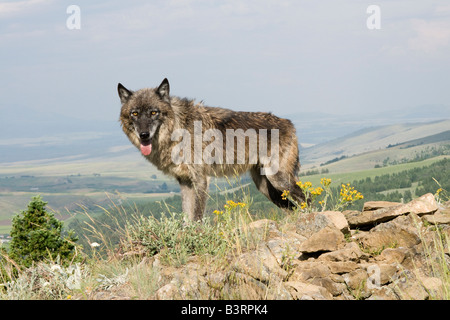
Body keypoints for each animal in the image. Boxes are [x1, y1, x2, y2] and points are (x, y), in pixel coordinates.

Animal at [117, 79, 306, 221]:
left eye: (153, 112)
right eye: (134, 114)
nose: (143, 135)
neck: (177, 129)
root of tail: (289, 123)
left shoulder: (201, 180)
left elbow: (197, 216)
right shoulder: (185, 182)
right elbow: (187, 217)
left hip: (279, 180)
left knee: (306, 199)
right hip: (265, 187)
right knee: (292, 208)